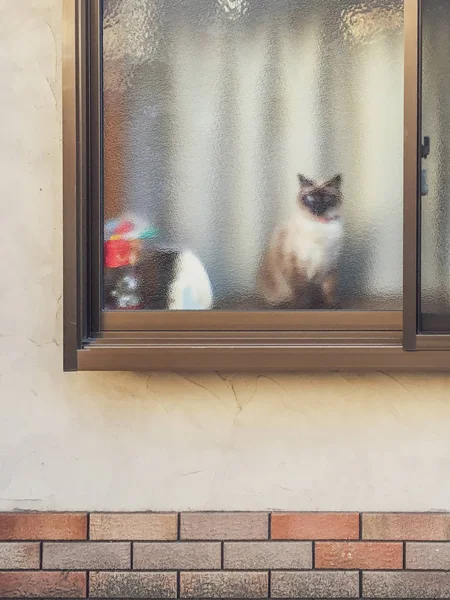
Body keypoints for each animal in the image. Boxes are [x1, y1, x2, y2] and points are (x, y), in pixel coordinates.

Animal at [258, 171, 342, 308]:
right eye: (310, 198)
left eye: (326, 198)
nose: (317, 207)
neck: (319, 224)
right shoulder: (298, 263)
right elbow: (300, 289)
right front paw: (302, 306)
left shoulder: (331, 263)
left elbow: (330, 288)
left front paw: (332, 304)